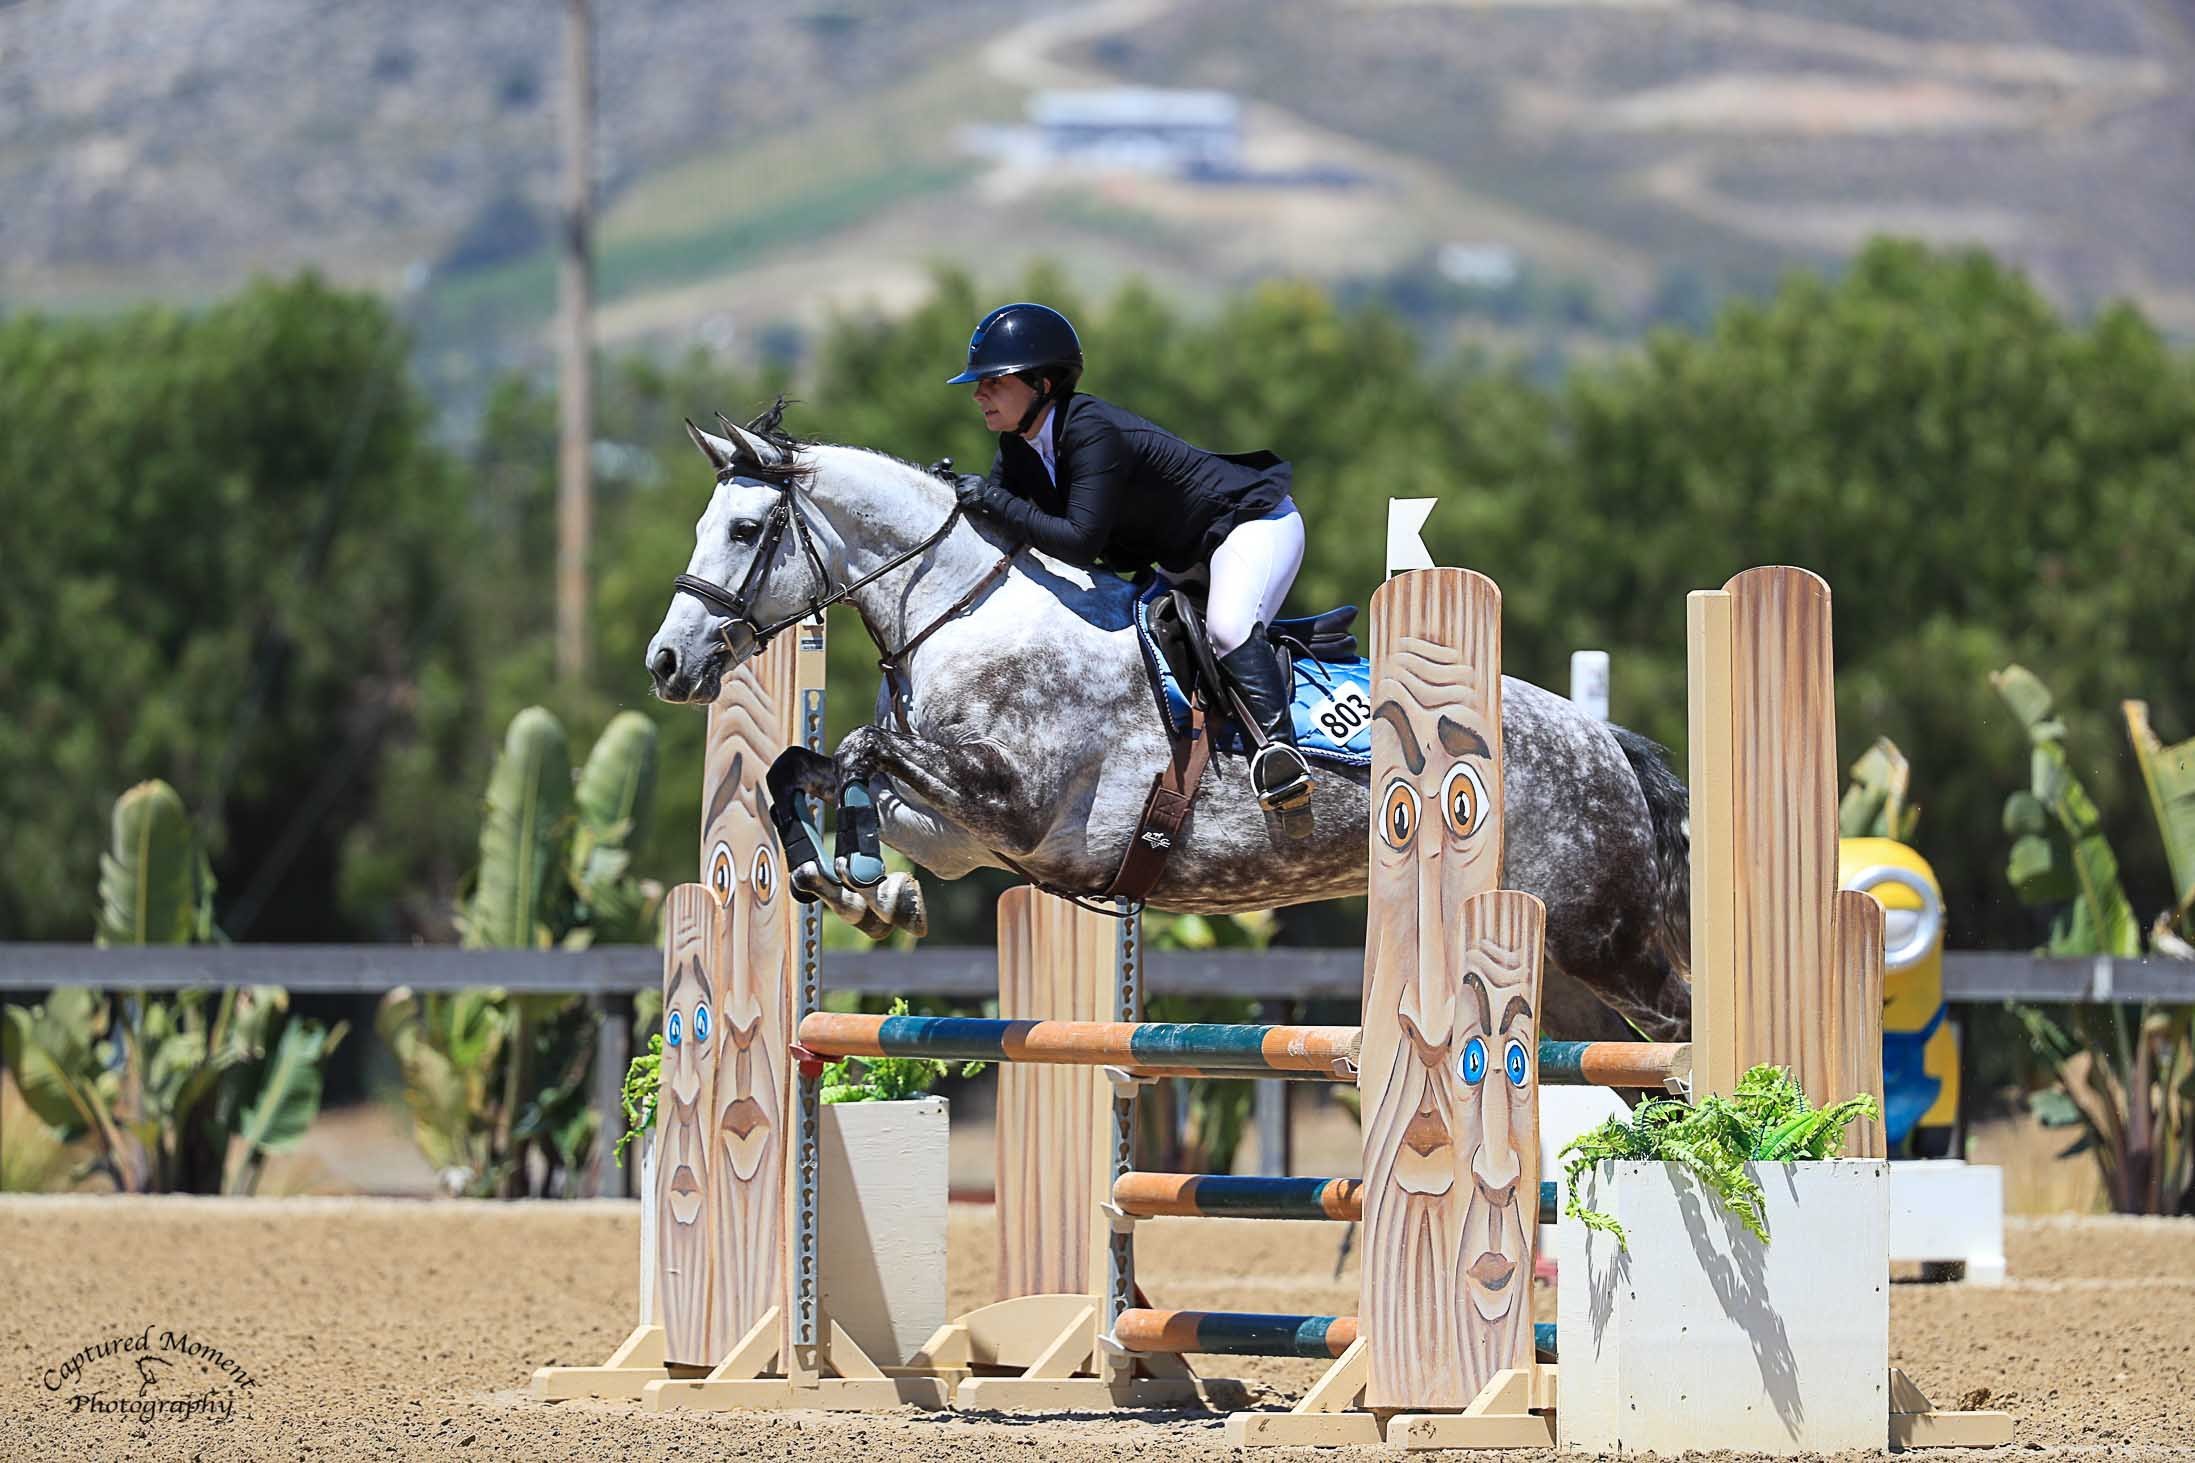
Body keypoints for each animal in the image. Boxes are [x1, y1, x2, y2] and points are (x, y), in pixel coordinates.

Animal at [644, 409, 1694, 1045]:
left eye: (745, 531)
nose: (667, 664)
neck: (961, 608)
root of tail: (1606, 744)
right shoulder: (964, 831)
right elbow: (800, 768)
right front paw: (865, 889)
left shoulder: (1021, 807)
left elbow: (863, 752)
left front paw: (861, 878)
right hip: (1564, 973)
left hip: (1606, 939)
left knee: (1682, 1034)